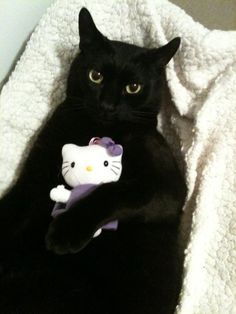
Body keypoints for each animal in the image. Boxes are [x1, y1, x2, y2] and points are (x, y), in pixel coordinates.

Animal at [0, 7, 186, 314]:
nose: (107, 105)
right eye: (95, 76)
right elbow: (13, 206)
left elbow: (113, 192)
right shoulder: (34, 174)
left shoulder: (167, 190)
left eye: (133, 87)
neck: (93, 131)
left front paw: (65, 231)